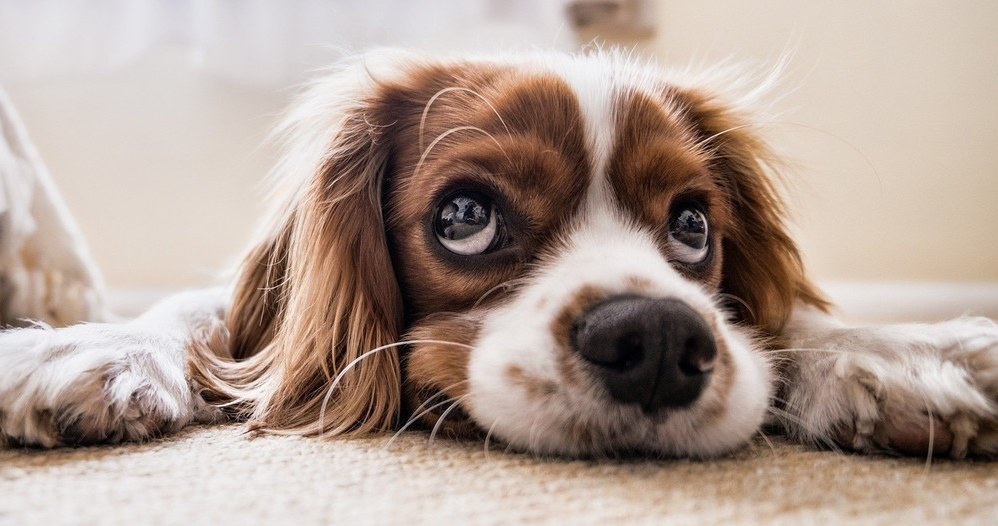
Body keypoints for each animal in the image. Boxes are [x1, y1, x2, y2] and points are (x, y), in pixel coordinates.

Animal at [1, 49, 998, 460]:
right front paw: (86, 348)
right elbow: (201, 315)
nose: (657, 340)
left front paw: (902, 353)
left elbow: (790, 323)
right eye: (465, 216)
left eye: (692, 226)